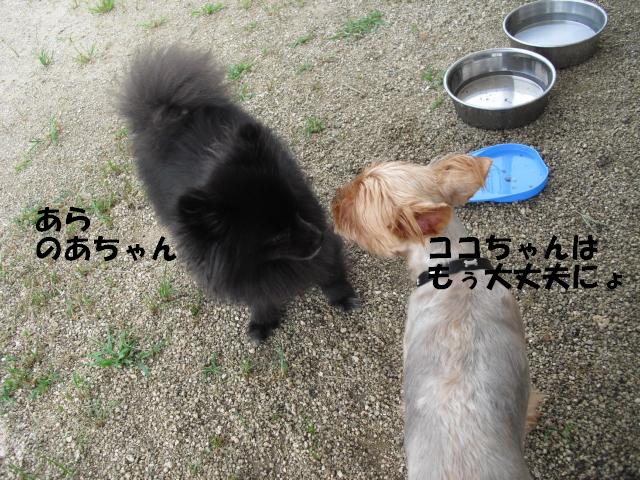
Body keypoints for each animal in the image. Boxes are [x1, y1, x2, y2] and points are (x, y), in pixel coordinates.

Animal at [119, 45, 359, 342]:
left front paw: (342, 296)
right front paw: (263, 321)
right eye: (277, 236)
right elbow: (260, 296)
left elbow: (328, 270)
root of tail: (170, 113)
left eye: (295, 211)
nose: (319, 237)